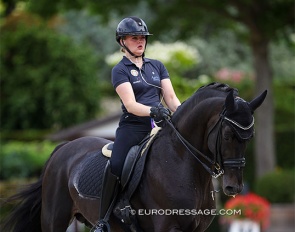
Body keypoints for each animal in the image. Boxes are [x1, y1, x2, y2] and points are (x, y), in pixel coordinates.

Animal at [0, 82, 268, 231]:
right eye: (228, 135)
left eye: (250, 136)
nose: (234, 187)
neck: (182, 162)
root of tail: (63, 149)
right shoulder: (167, 227)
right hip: (55, 220)